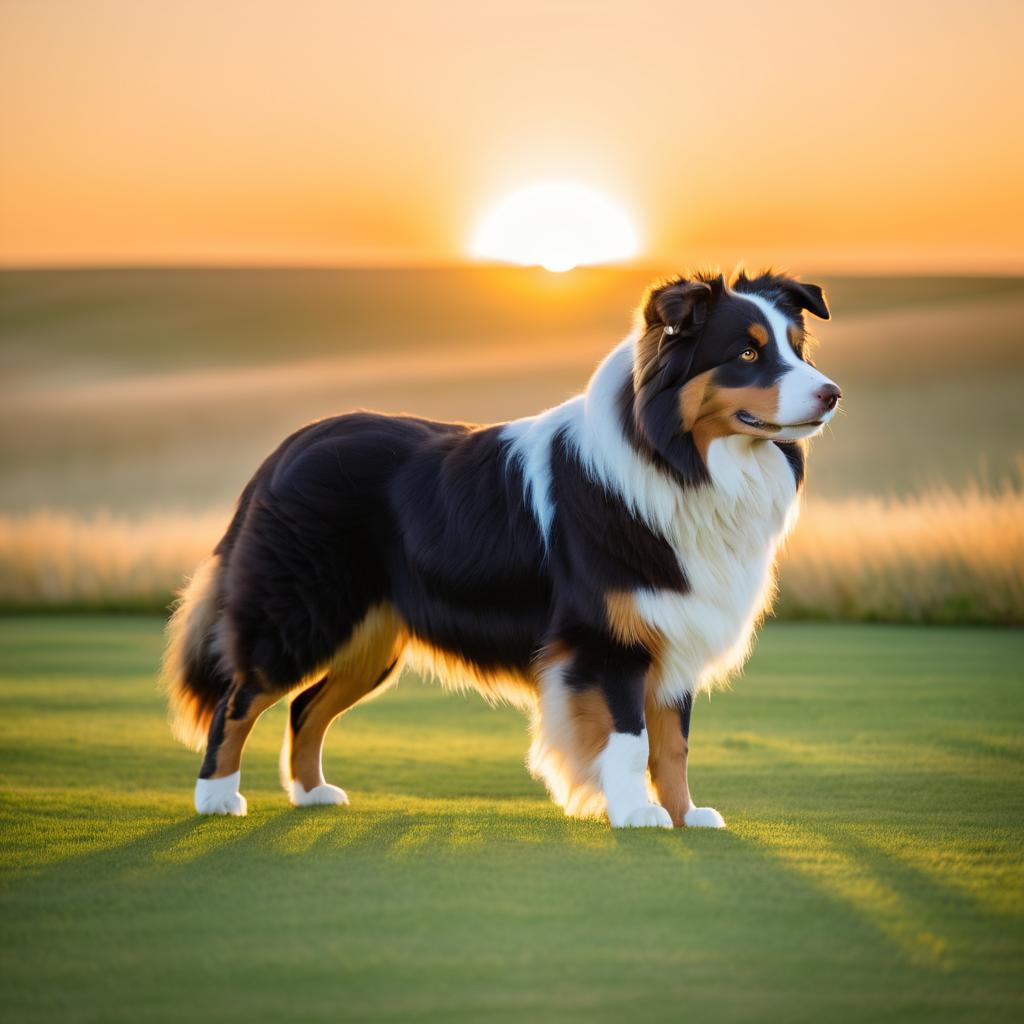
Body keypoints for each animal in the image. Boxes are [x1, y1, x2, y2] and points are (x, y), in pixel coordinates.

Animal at [163, 268, 839, 827]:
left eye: (796, 349)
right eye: (747, 352)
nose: (832, 393)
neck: (676, 459)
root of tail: (287, 450)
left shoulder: (674, 629)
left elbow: (673, 743)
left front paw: (685, 815)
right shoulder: (608, 642)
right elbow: (630, 739)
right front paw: (635, 815)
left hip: (371, 638)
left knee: (306, 706)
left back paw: (311, 794)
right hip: (302, 616)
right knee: (239, 699)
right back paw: (217, 798)